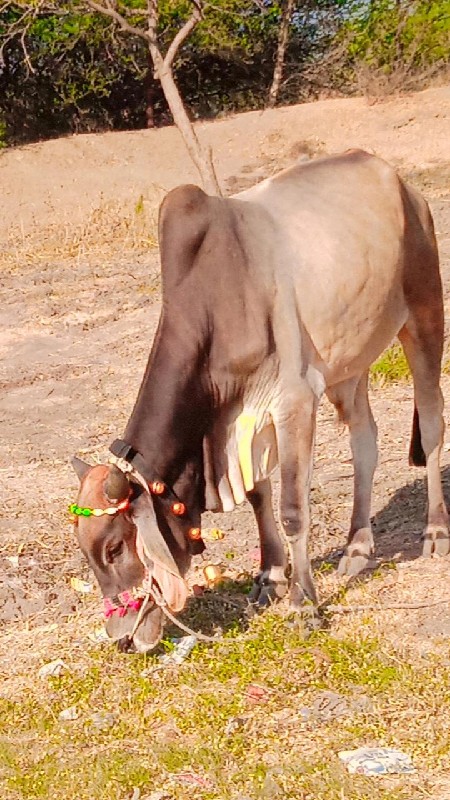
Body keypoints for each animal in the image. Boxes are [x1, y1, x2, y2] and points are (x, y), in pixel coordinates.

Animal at [70, 148, 446, 648]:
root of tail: (400, 182)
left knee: (432, 425)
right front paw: (270, 577)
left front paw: (305, 604)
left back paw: (435, 530)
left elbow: (292, 510)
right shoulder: (239, 422)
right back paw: (357, 546)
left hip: (424, 317)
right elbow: (257, 495)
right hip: (350, 362)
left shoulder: (294, 401)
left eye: (114, 547)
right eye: (86, 550)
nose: (123, 637)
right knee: (365, 440)